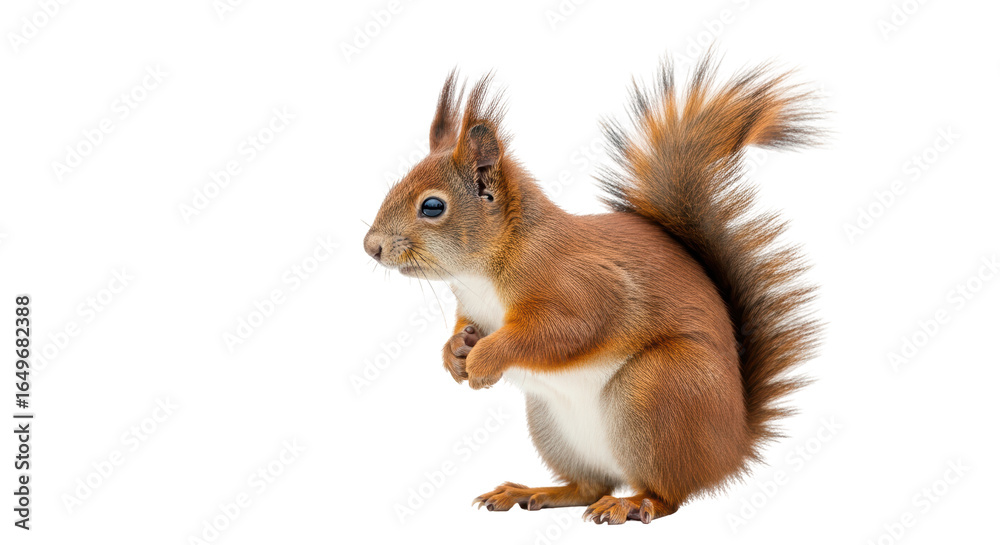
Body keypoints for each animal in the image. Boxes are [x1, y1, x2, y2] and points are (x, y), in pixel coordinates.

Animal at [363, 54, 821, 525]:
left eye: (433, 206)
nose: (371, 247)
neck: (484, 270)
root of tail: (733, 448)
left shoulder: (584, 287)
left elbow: (565, 332)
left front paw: (486, 358)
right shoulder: (473, 308)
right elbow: (464, 328)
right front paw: (455, 353)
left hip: (657, 391)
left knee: (669, 495)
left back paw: (634, 502)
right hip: (552, 426)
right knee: (589, 485)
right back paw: (534, 491)